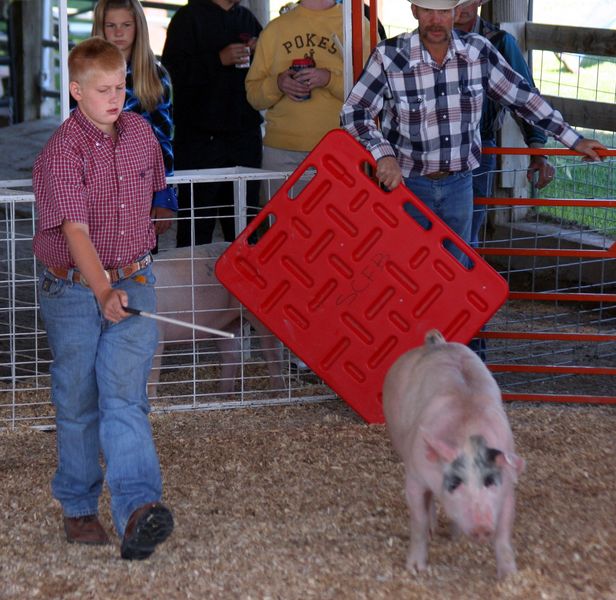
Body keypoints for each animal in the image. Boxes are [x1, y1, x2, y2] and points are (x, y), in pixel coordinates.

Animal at [384, 330, 524, 580]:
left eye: (490, 481)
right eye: (455, 483)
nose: (482, 528)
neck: (467, 436)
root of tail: (436, 344)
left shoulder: (507, 487)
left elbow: (503, 533)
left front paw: (509, 576)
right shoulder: (414, 476)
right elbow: (418, 522)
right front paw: (415, 569)